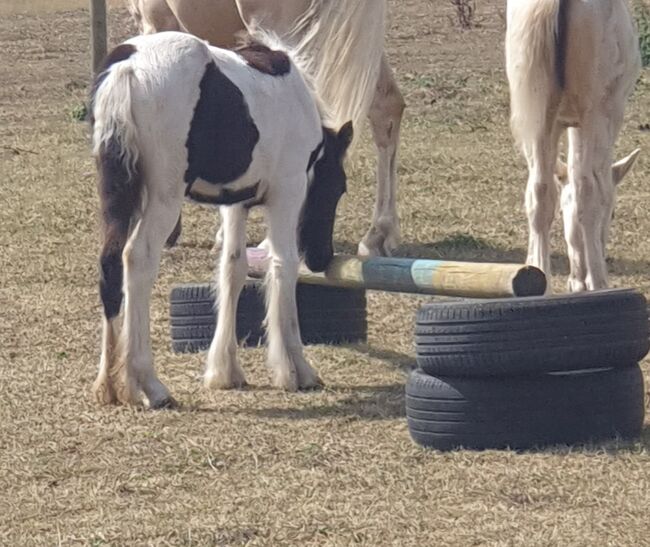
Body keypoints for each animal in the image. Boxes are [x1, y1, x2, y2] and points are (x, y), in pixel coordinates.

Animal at [90, 30, 350, 406]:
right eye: (339, 186)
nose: (322, 257)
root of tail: (128, 68)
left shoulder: (235, 202)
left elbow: (233, 269)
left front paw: (225, 371)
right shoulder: (287, 191)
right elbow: (282, 265)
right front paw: (296, 370)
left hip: (118, 194)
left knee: (110, 262)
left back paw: (109, 384)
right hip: (164, 198)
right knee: (137, 259)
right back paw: (149, 385)